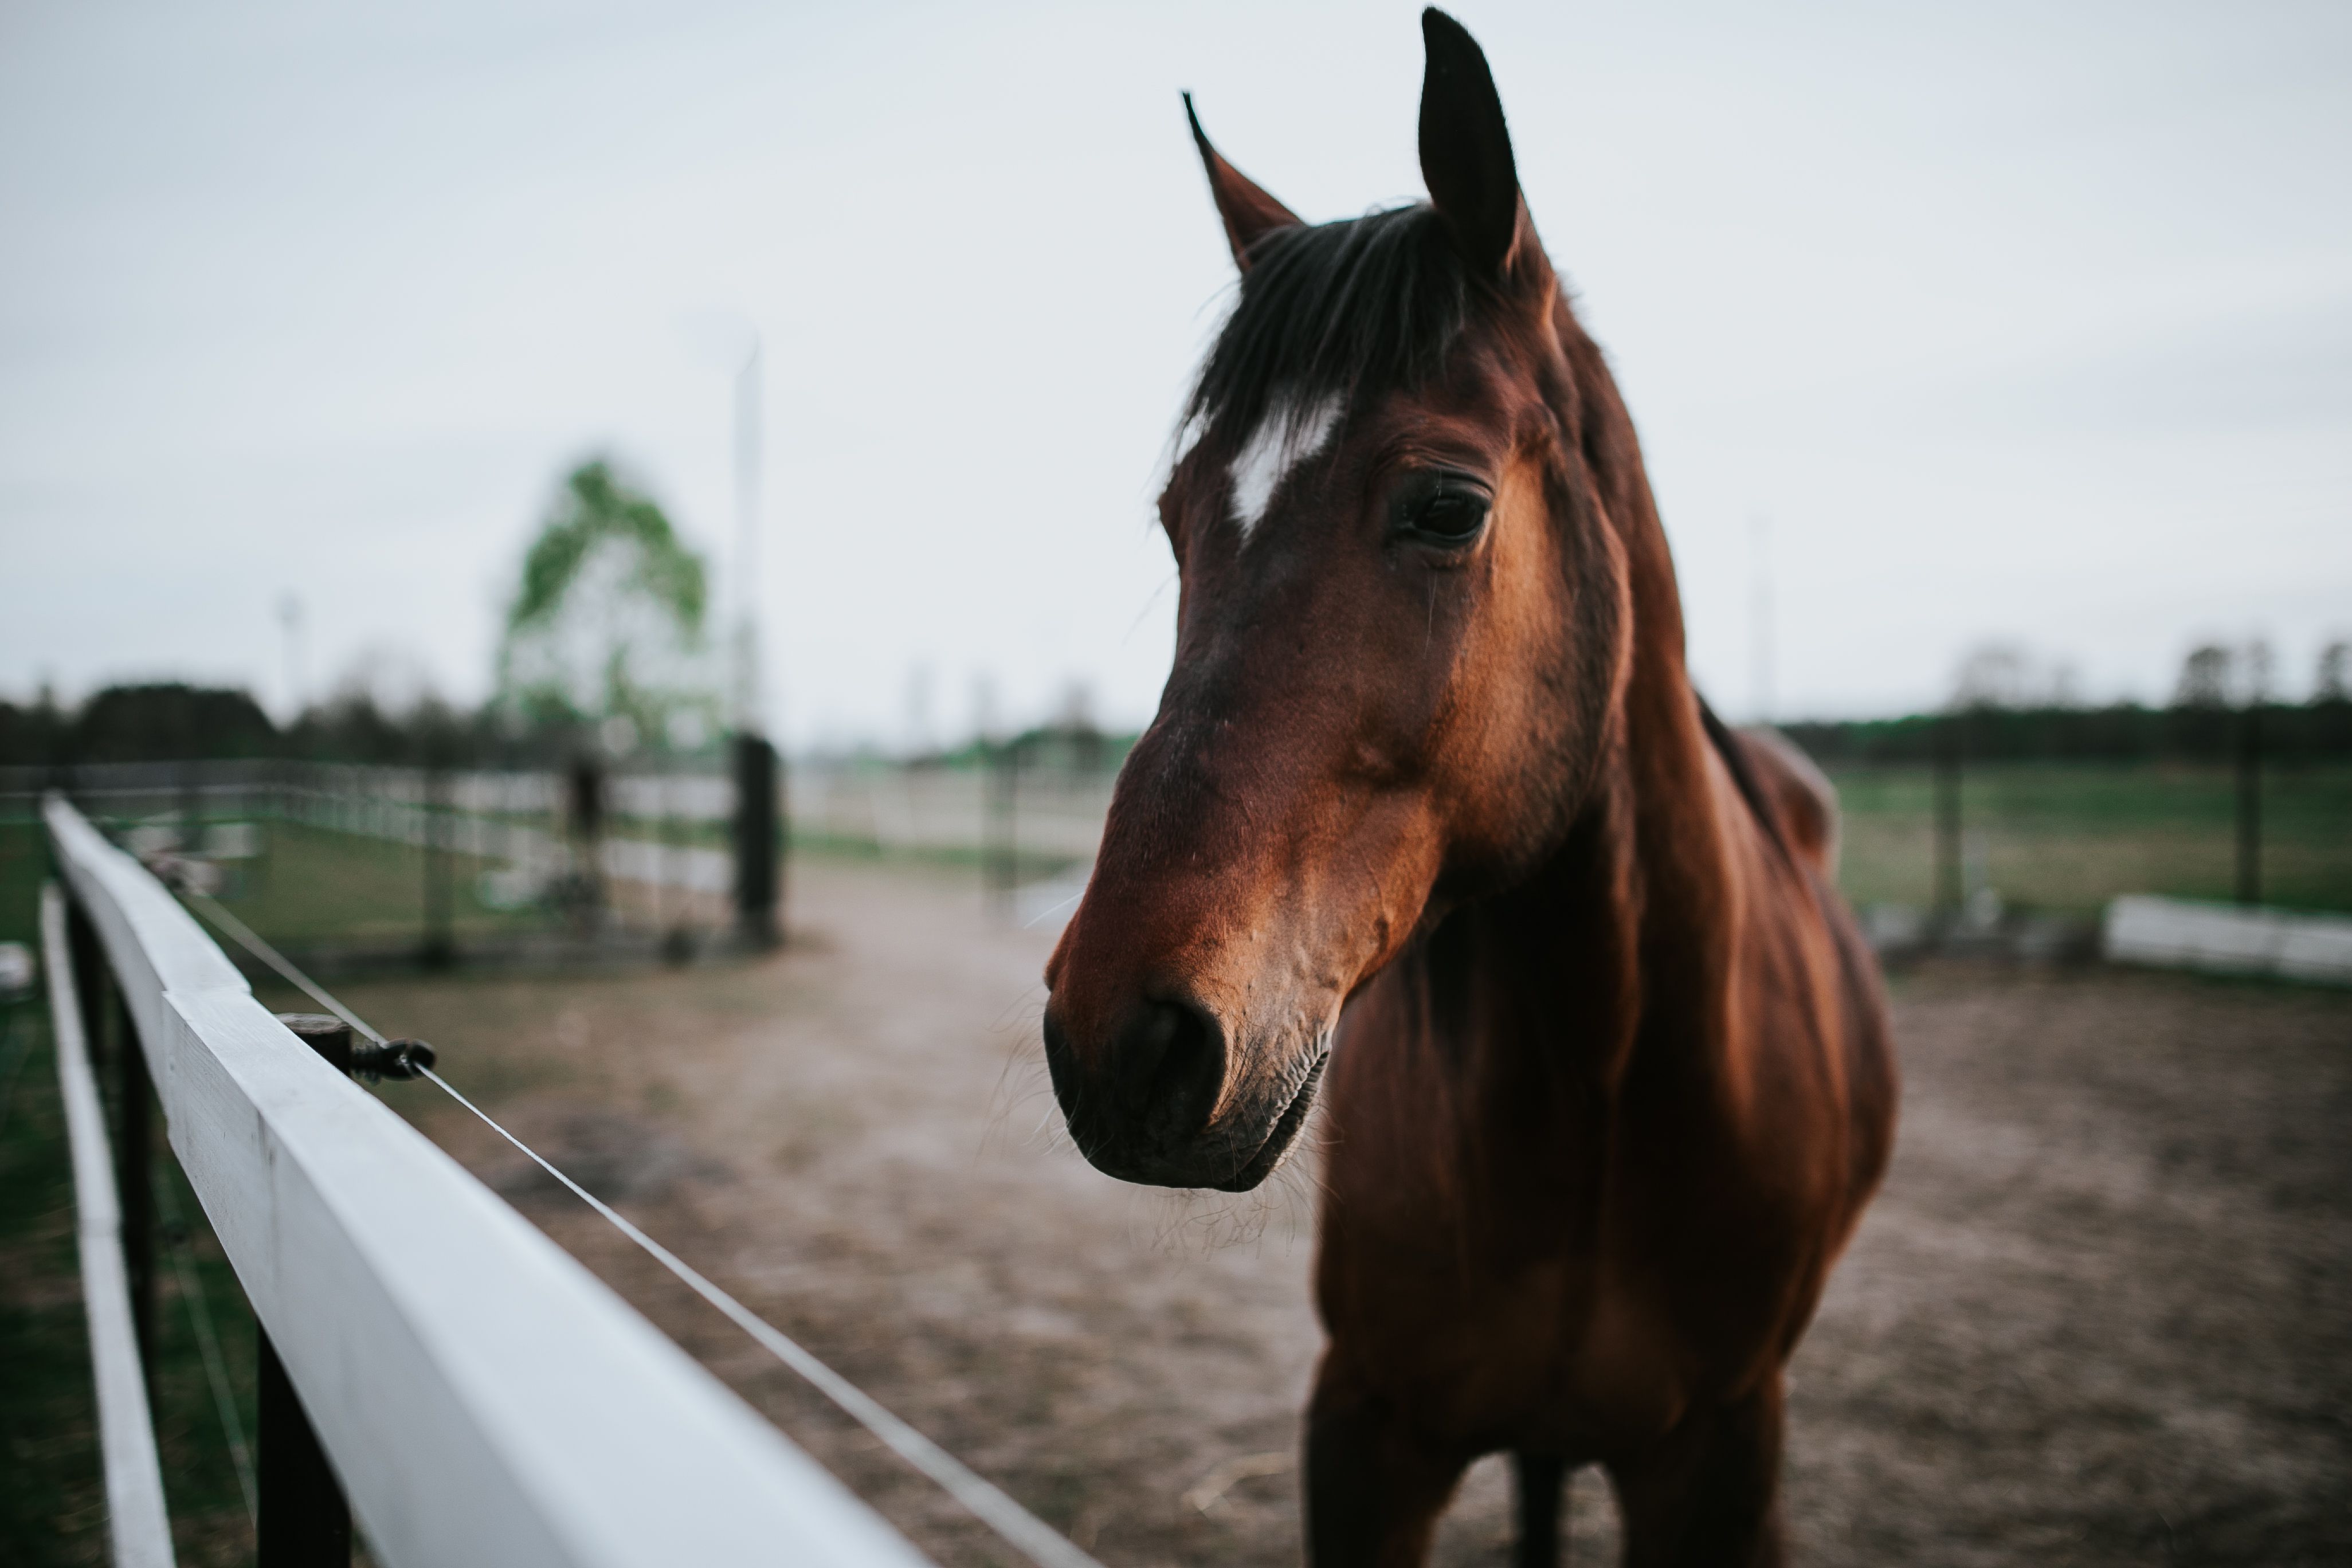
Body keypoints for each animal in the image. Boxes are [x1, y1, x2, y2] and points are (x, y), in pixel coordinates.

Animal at [1049, 9, 1891, 1561]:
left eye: (1449, 505)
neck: (1603, 1074)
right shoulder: (1370, 1428)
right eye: (1177, 518)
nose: (1118, 1040)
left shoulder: (1723, 1448)